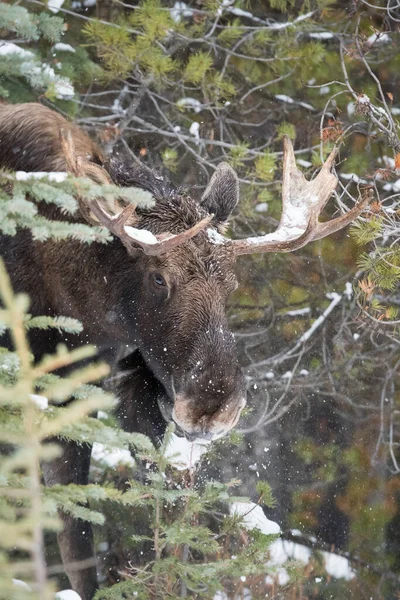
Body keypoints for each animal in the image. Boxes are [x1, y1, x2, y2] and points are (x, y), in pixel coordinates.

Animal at [0, 101, 368, 596]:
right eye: (158, 278)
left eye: (231, 285)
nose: (212, 405)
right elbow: (72, 536)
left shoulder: (119, 385)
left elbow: (156, 517)